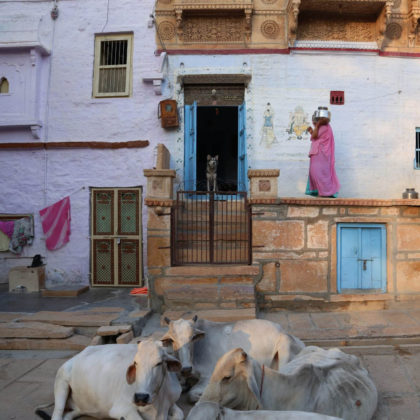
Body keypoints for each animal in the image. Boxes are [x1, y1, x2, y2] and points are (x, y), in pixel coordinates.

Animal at [37, 342, 185, 420]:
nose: (141, 397)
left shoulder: (171, 402)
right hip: (61, 382)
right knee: (57, 414)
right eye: (135, 363)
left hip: (80, 408)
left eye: (159, 363)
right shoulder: (121, 409)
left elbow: (179, 415)